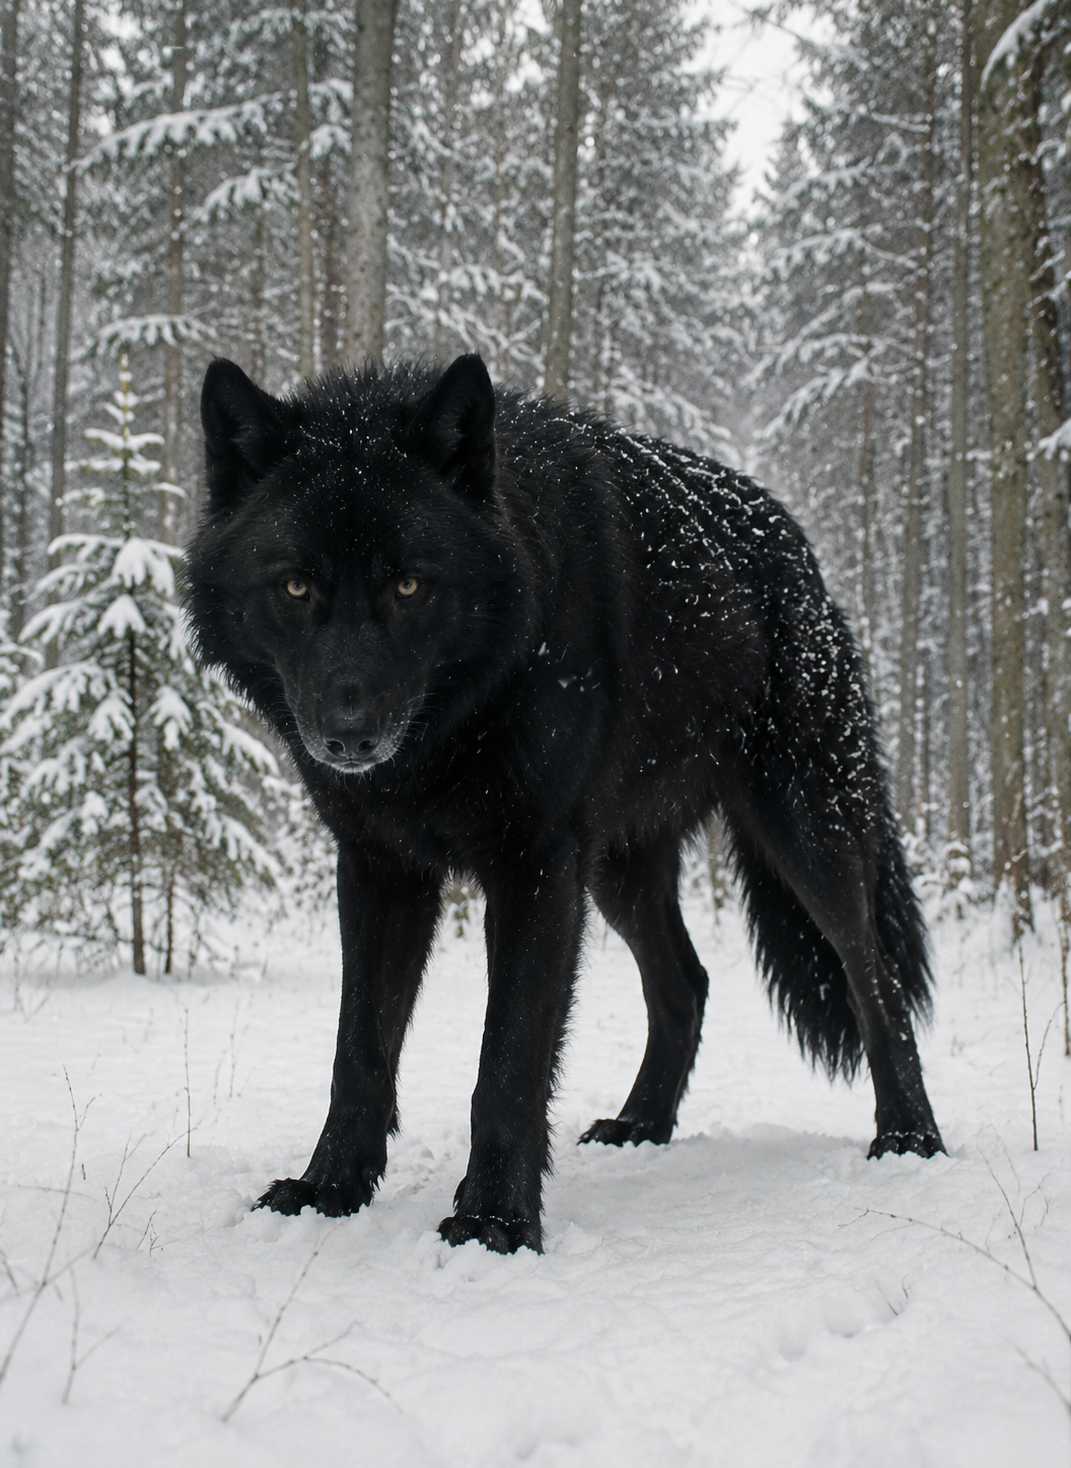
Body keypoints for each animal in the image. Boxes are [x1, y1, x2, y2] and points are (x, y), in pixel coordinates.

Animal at [186, 353, 944, 1254]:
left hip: (806, 837)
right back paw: (641, 1125)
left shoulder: (535, 869)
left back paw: (910, 1136)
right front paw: (329, 1188)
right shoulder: (380, 871)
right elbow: (357, 1053)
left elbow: (507, 1064)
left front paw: (493, 1221)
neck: (459, 726)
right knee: (687, 982)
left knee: (872, 976)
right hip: (617, 874)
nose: (347, 736)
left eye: (408, 584)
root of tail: (798, 548)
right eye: (296, 586)